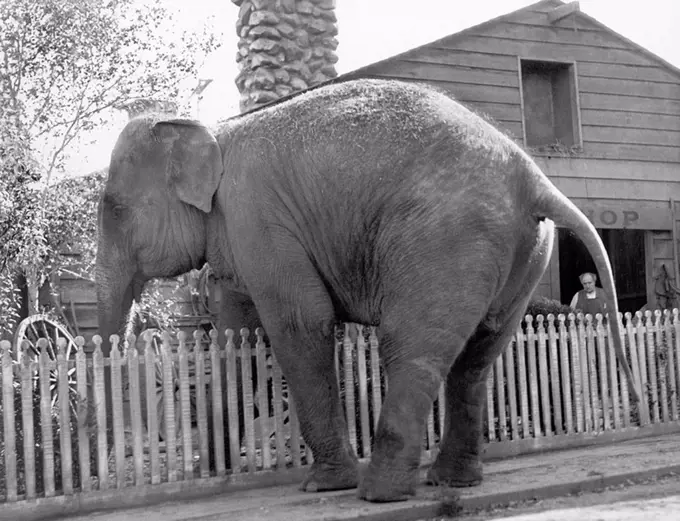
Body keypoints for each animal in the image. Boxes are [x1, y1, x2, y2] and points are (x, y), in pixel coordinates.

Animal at [94, 79, 636, 502]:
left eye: (115, 209)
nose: (206, 469)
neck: (210, 127)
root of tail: (534, 178)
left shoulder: (256, 218)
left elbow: (302, 322)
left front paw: (324, 485)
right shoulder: (238, 235)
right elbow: (236, 335)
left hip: (445, 239)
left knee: (408, 343)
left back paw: (379, 492)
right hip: (526, 252)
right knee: (479, 352)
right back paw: (452, 483)